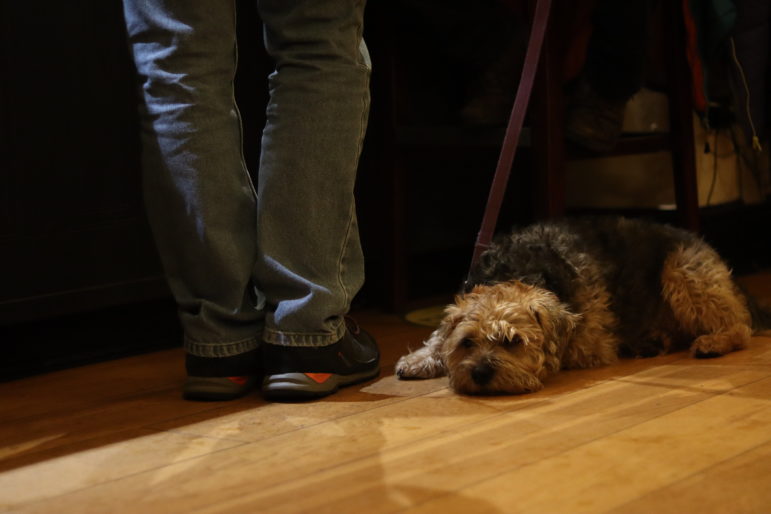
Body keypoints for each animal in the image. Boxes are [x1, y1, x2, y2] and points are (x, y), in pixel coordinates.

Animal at [396, 215, 768, 392]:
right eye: (467, 343)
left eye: (513, 342)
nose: (480, 373)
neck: (519, 269)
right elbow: (438, 337)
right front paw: (420, 358)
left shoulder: (589, 344)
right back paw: (654, 341)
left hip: (684, 272)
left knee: (740, 325)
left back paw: (712, 342)